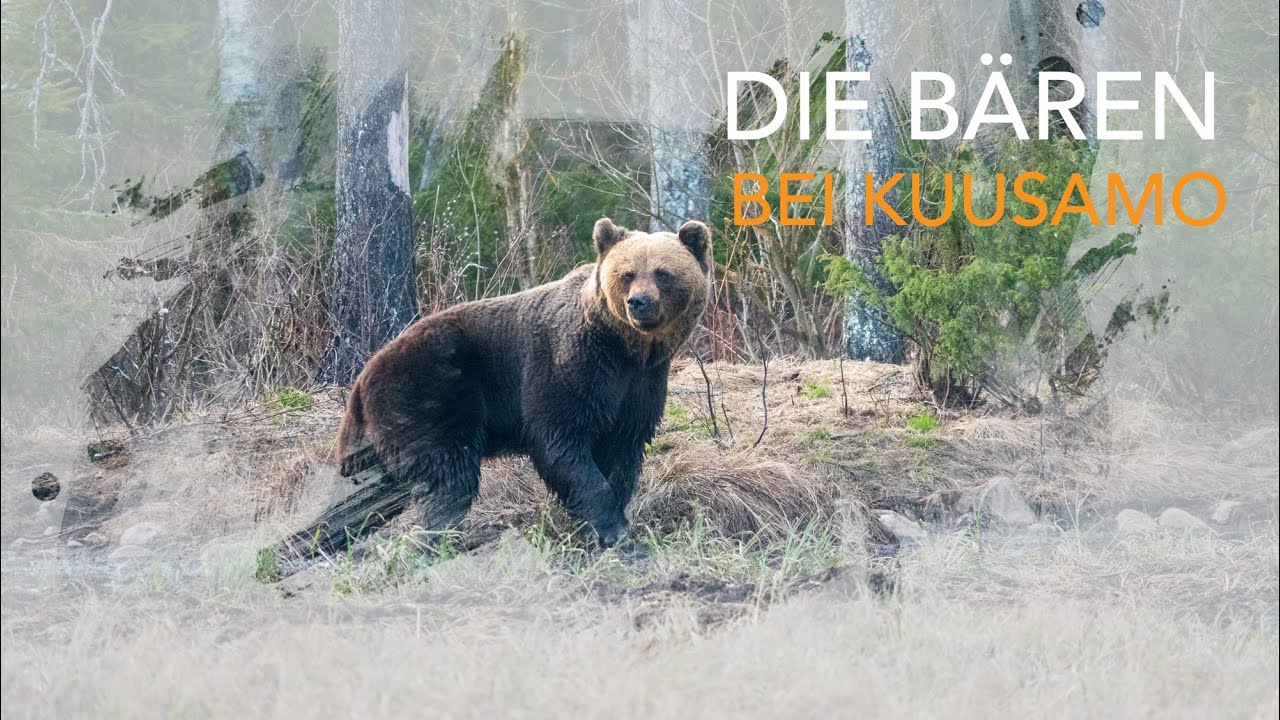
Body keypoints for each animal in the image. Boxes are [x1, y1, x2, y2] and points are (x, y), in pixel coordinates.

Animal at [280, 217, 711, 563]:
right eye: (627, 273)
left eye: (662, 273)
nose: (639, 302)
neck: (624, 347)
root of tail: (362, 376)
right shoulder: (567, 369)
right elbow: (561, 442)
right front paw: (610, 528)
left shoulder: (638, 386)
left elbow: (624, 449)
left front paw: (615, 517)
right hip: (432, 393)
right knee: (448, 477)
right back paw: (436, 539)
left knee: (387, 490)